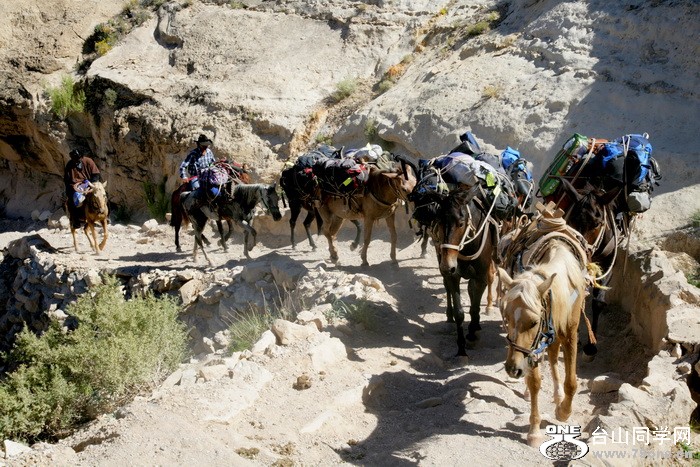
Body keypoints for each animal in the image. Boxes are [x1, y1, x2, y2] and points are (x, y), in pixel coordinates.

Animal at [500, 239, 588, 448]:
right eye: (507, 318)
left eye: (533, 322)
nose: (512, 369)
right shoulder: (534, 346)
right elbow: (535, 383)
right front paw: (534, 431)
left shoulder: (569, 333)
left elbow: (571, 382)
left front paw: (564, 411)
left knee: (554, 357)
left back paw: (558, 397)